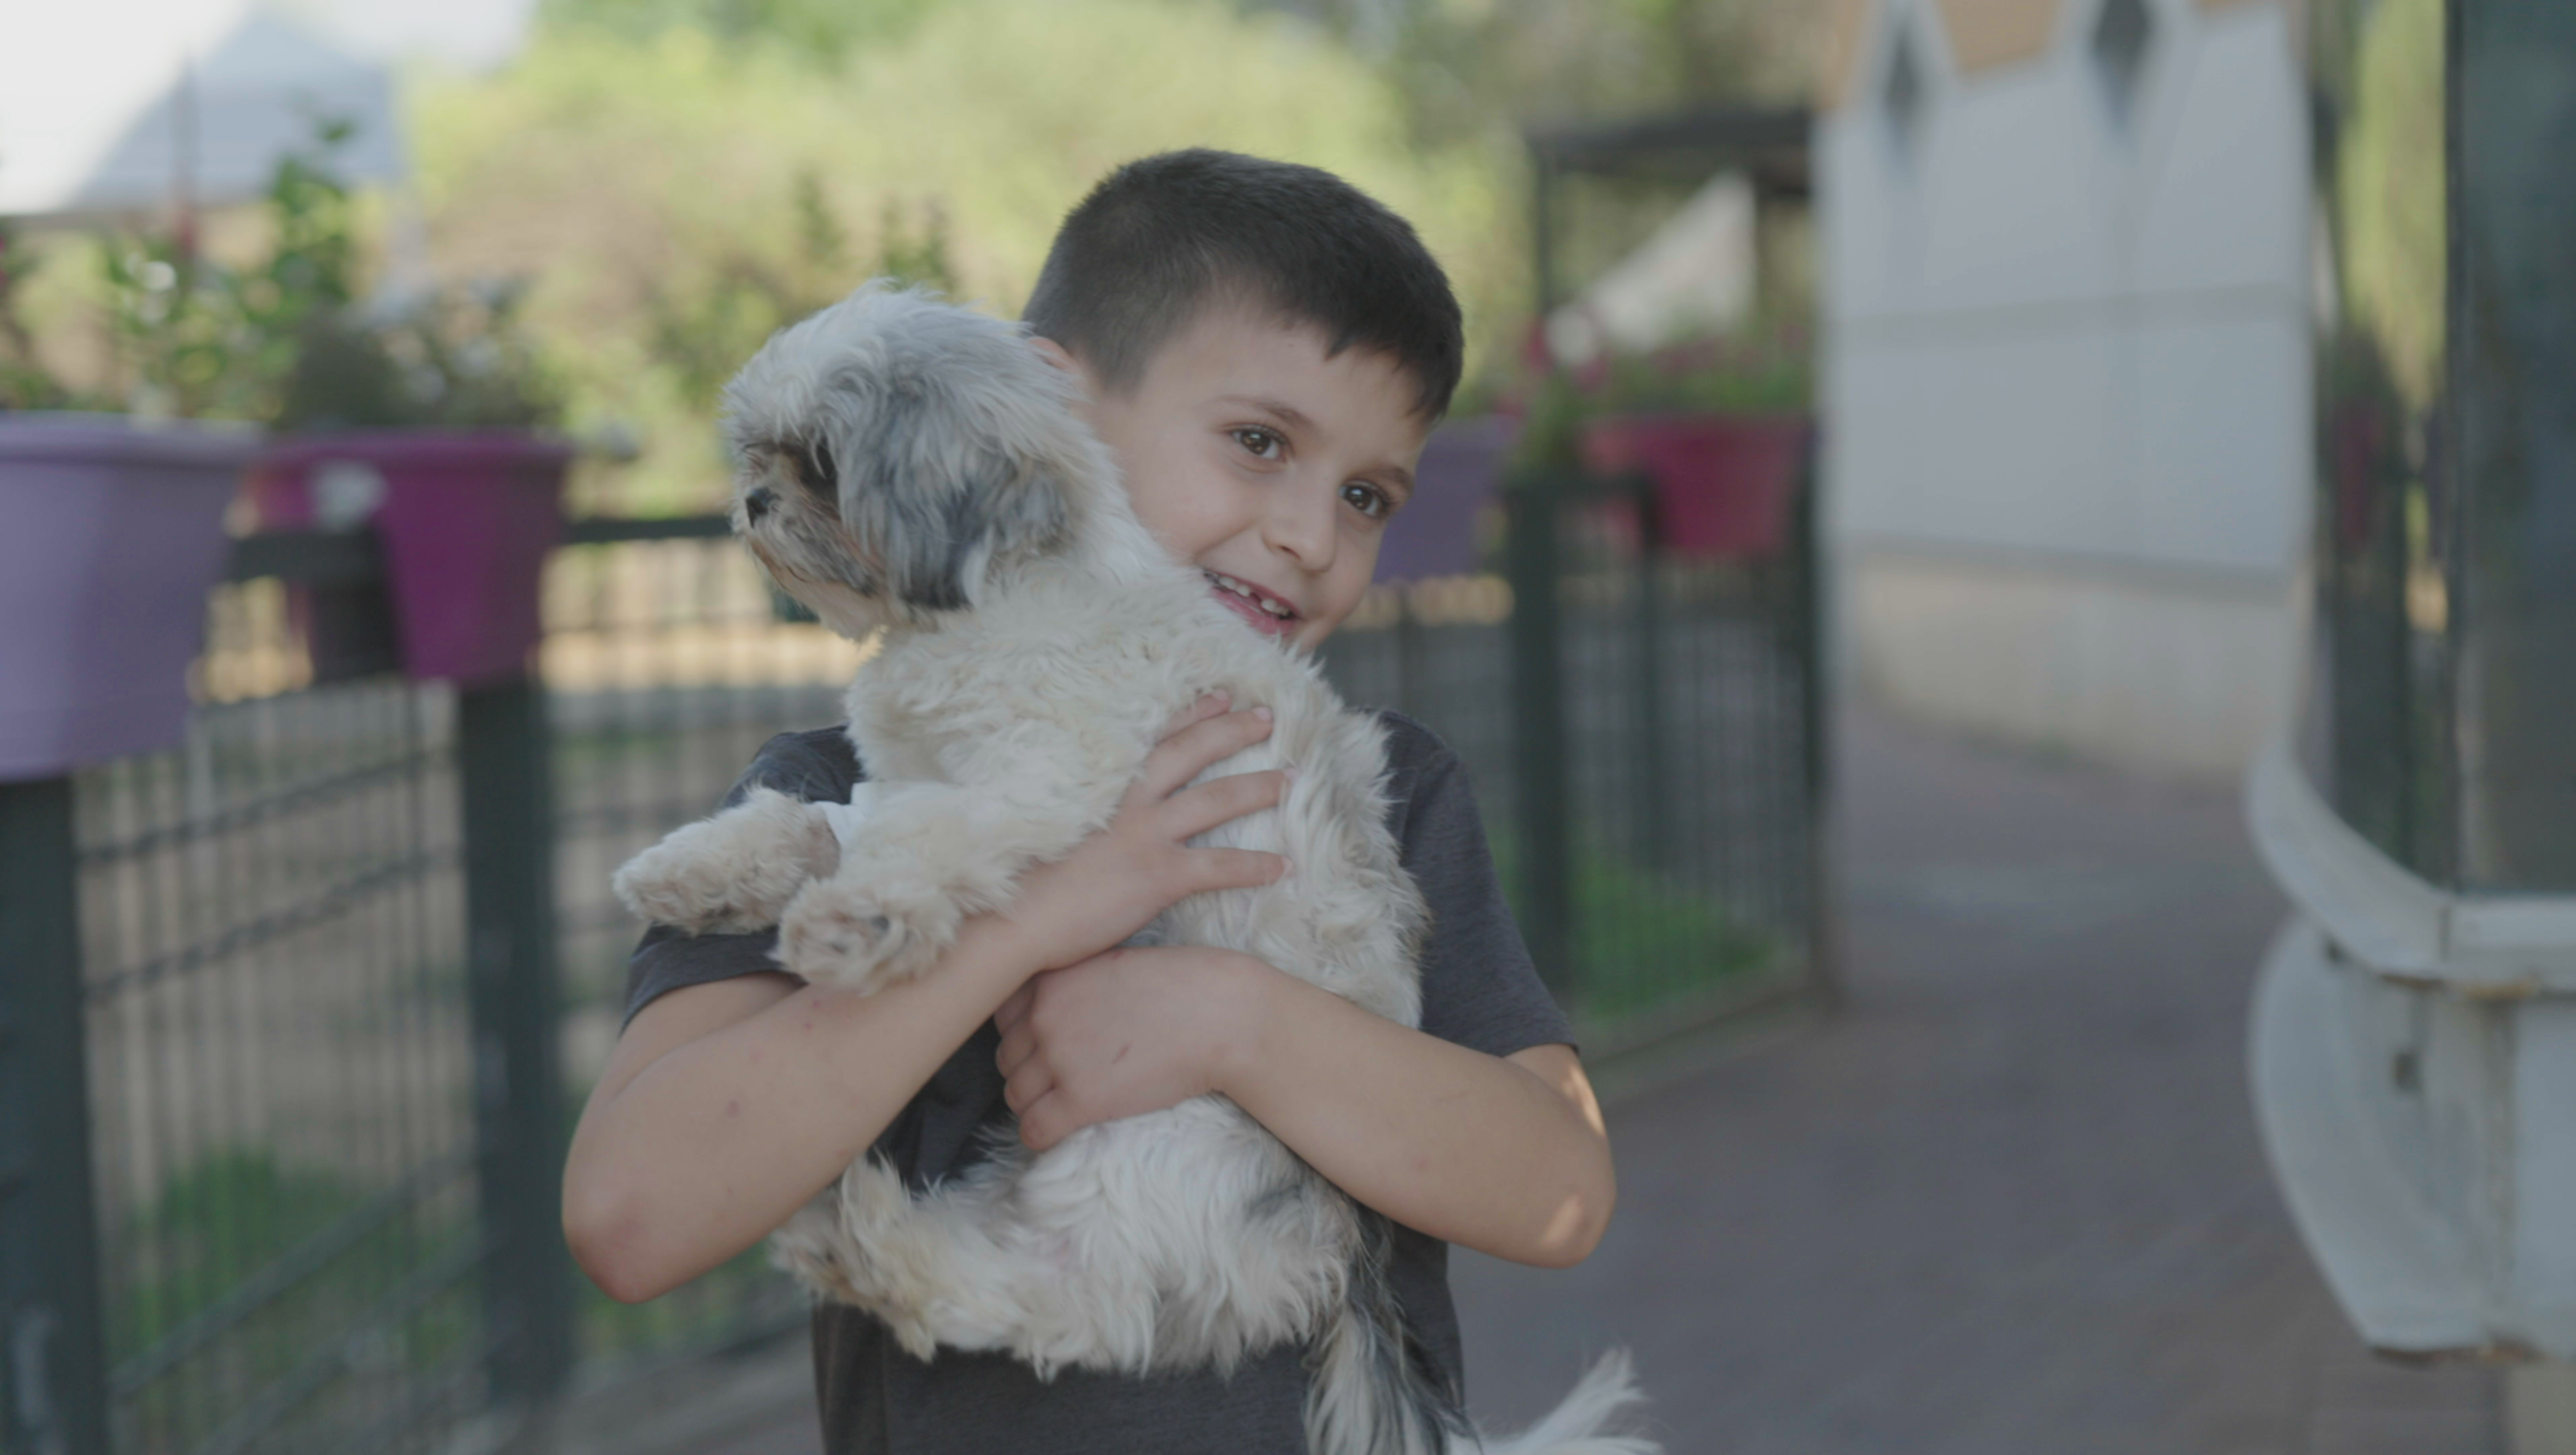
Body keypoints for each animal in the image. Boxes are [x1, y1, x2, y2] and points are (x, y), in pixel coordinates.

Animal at [612, 283, 1638, 1452]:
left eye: (819, 463)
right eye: (761, 455)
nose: (750, 500)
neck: (1006, 588)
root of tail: (1348, 1248)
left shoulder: (1044, 777)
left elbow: (921, 843)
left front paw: (858, 921)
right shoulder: (896, 779)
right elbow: (815, 821)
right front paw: (698, 869)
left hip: (1152, 1139)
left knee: (1057, 1300)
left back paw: (870, 1243)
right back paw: (851, 1235)